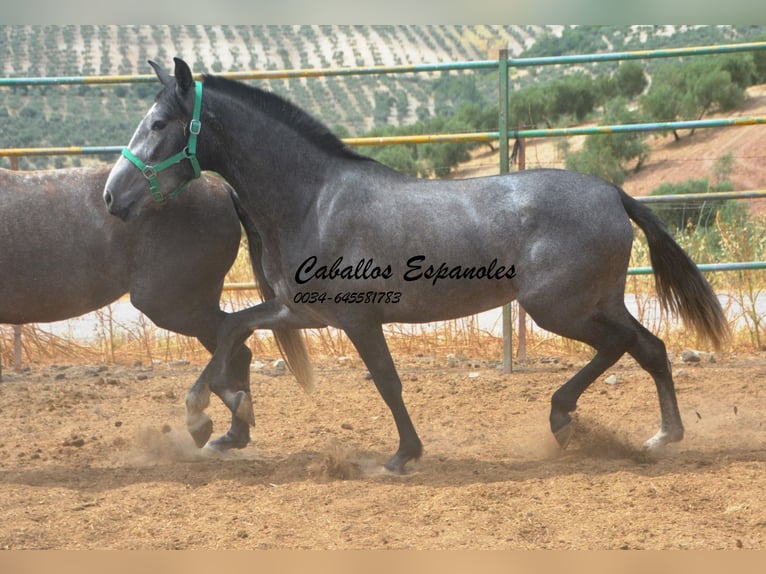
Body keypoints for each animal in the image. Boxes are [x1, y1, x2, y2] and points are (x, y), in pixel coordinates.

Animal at [1, 164, 311, 449]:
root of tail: (221, 188)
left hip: (174, 306)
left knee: (235, 337)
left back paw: (204, 421)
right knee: (238, 347)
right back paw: (232, 435)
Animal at [103, 58, 730, 473]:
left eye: (157, 124)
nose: (111, 197)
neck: (314, 199)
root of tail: (613, 194)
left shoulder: (358, 318)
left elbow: (386, 380)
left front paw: (403, 456)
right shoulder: (303, 310)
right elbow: (235, 327)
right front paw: (213, 424)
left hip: (558, 307)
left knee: (631, 346)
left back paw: (608, 428)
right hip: (591, 302)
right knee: (640, 347)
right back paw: (620, 429)